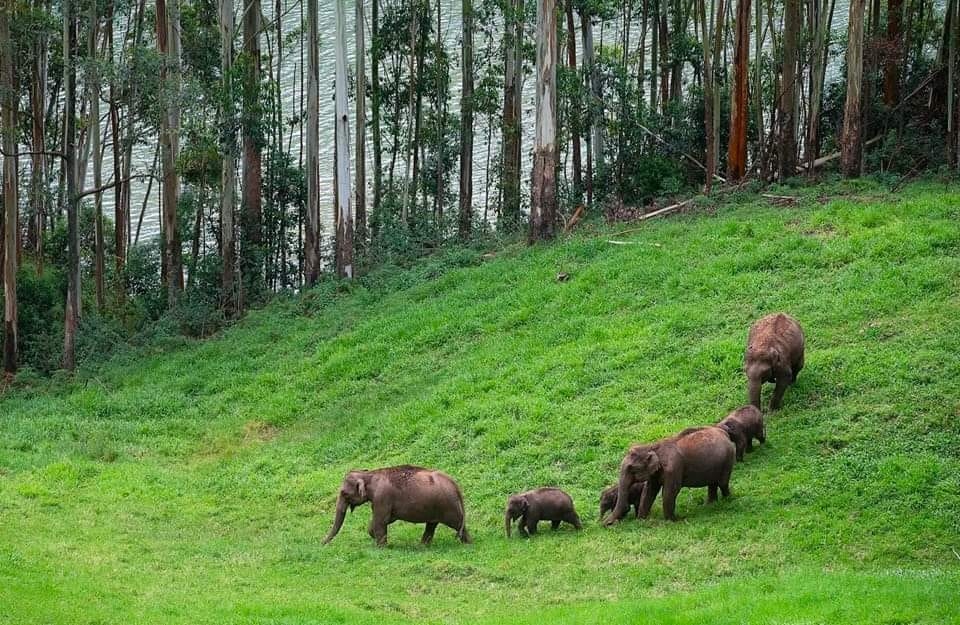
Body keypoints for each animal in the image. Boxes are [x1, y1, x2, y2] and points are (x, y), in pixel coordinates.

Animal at [322, 465, 471, 547]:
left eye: (344, 493)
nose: (321, 544)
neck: (369, 475)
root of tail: (455, 484)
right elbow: (384, 520)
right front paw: (379, 540)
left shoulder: (382, 497)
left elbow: (381, 521)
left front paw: (381, 547)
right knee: (431, 526)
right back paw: (422, 546)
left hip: (448, 507)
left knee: (457, 524)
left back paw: (468, 544)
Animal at [603, 426, 735, 525]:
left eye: (631, 468)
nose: (605, 524)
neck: (652, 446)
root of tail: (724, 432)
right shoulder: (655, 473)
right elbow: (649, 491)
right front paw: (641, 520)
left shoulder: (674, 469)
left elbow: (669, 492)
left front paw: (673, 521)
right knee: (713, 483)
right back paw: (710, 504)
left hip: (728, 458)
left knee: (722, 482)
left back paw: (728, 500)